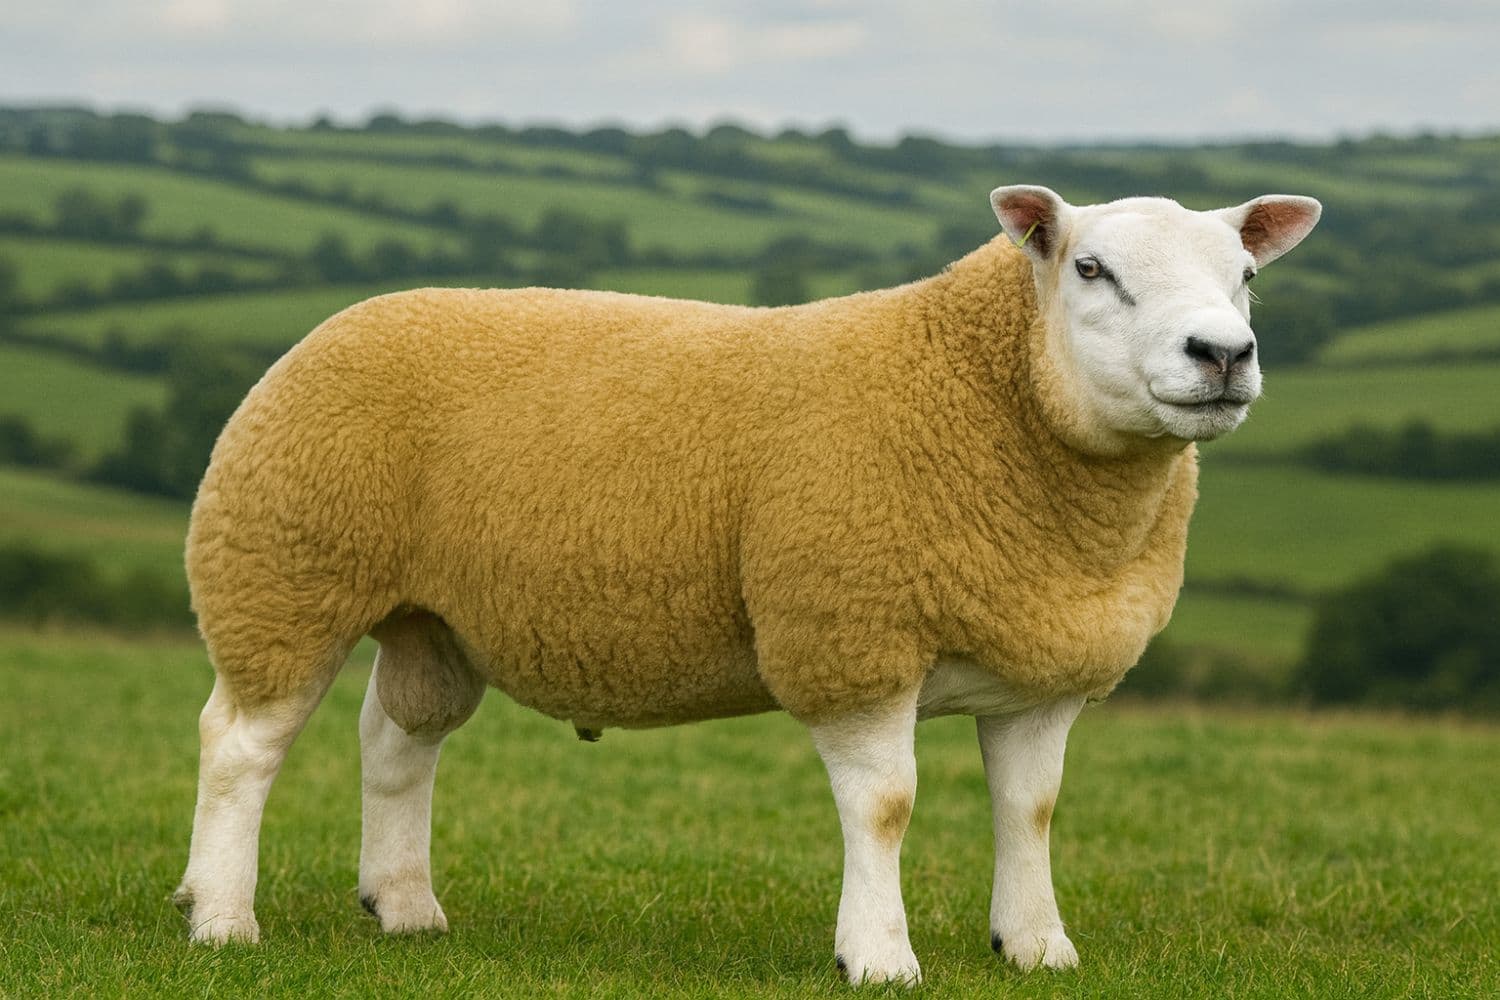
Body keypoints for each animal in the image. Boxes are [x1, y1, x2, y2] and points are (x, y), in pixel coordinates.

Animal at [175, 185, 1321, 984]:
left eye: (1245, 275)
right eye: (1090, 268)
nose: (1223, 354)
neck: (993, 403)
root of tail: (345, 321)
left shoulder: (1042, 667)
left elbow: (1030, 810)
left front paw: (1037, 946)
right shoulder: (850, 634)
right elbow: (887, 805)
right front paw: (878, 956)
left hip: (434, 614)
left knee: (398, 738)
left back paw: (403, 905)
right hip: (280, 568)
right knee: (240, 742)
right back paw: (222, 916)